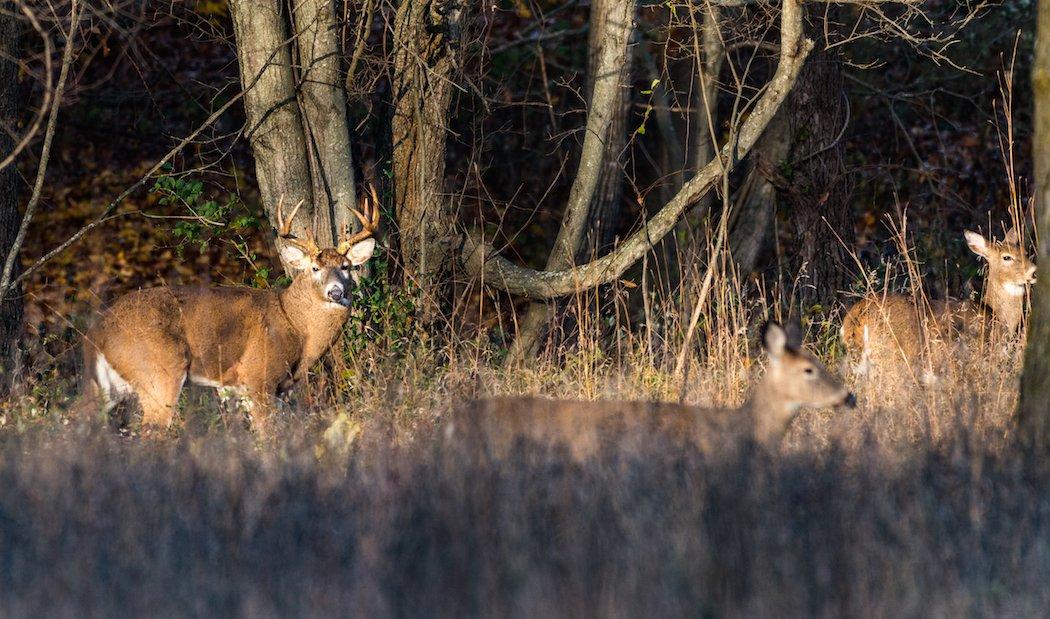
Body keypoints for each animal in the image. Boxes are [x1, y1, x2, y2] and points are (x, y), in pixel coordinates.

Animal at [76, 188, 382, 432]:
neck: (295, 326)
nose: (336, 292)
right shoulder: (258, 377)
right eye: (315, 268)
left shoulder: (266, 389)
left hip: (108, 385)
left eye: (346, 267)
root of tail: (96, 333)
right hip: (159, 372)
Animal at [839, 225, 1037, 375]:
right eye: (1006, 257)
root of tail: (855, 319)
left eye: (1025, 252)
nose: (1033, 271)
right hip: (895, 354)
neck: (996, 314)